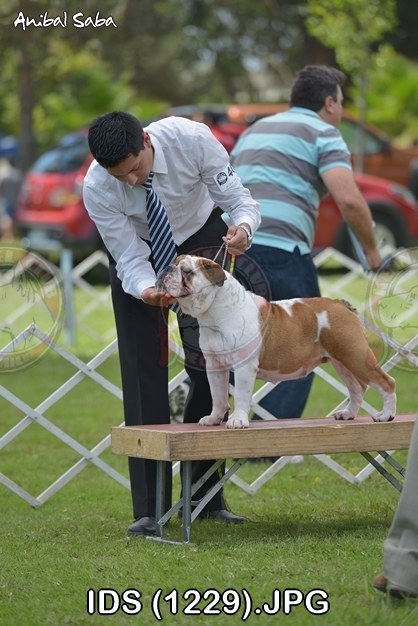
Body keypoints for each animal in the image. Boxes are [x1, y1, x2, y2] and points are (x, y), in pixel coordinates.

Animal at [156, 255, 396, 429]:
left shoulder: (244, 368)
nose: (167, 268)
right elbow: (218, 395)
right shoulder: (215, 367)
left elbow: (241, 396)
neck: (214, 313)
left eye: (186, 271)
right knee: (357, 389)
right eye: (175, 263)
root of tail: (339, 303)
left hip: (356, 357)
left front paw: (238, 420)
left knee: (386, 382)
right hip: (342, 361)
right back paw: (347, 415)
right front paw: (214, 418)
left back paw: (386, 416)